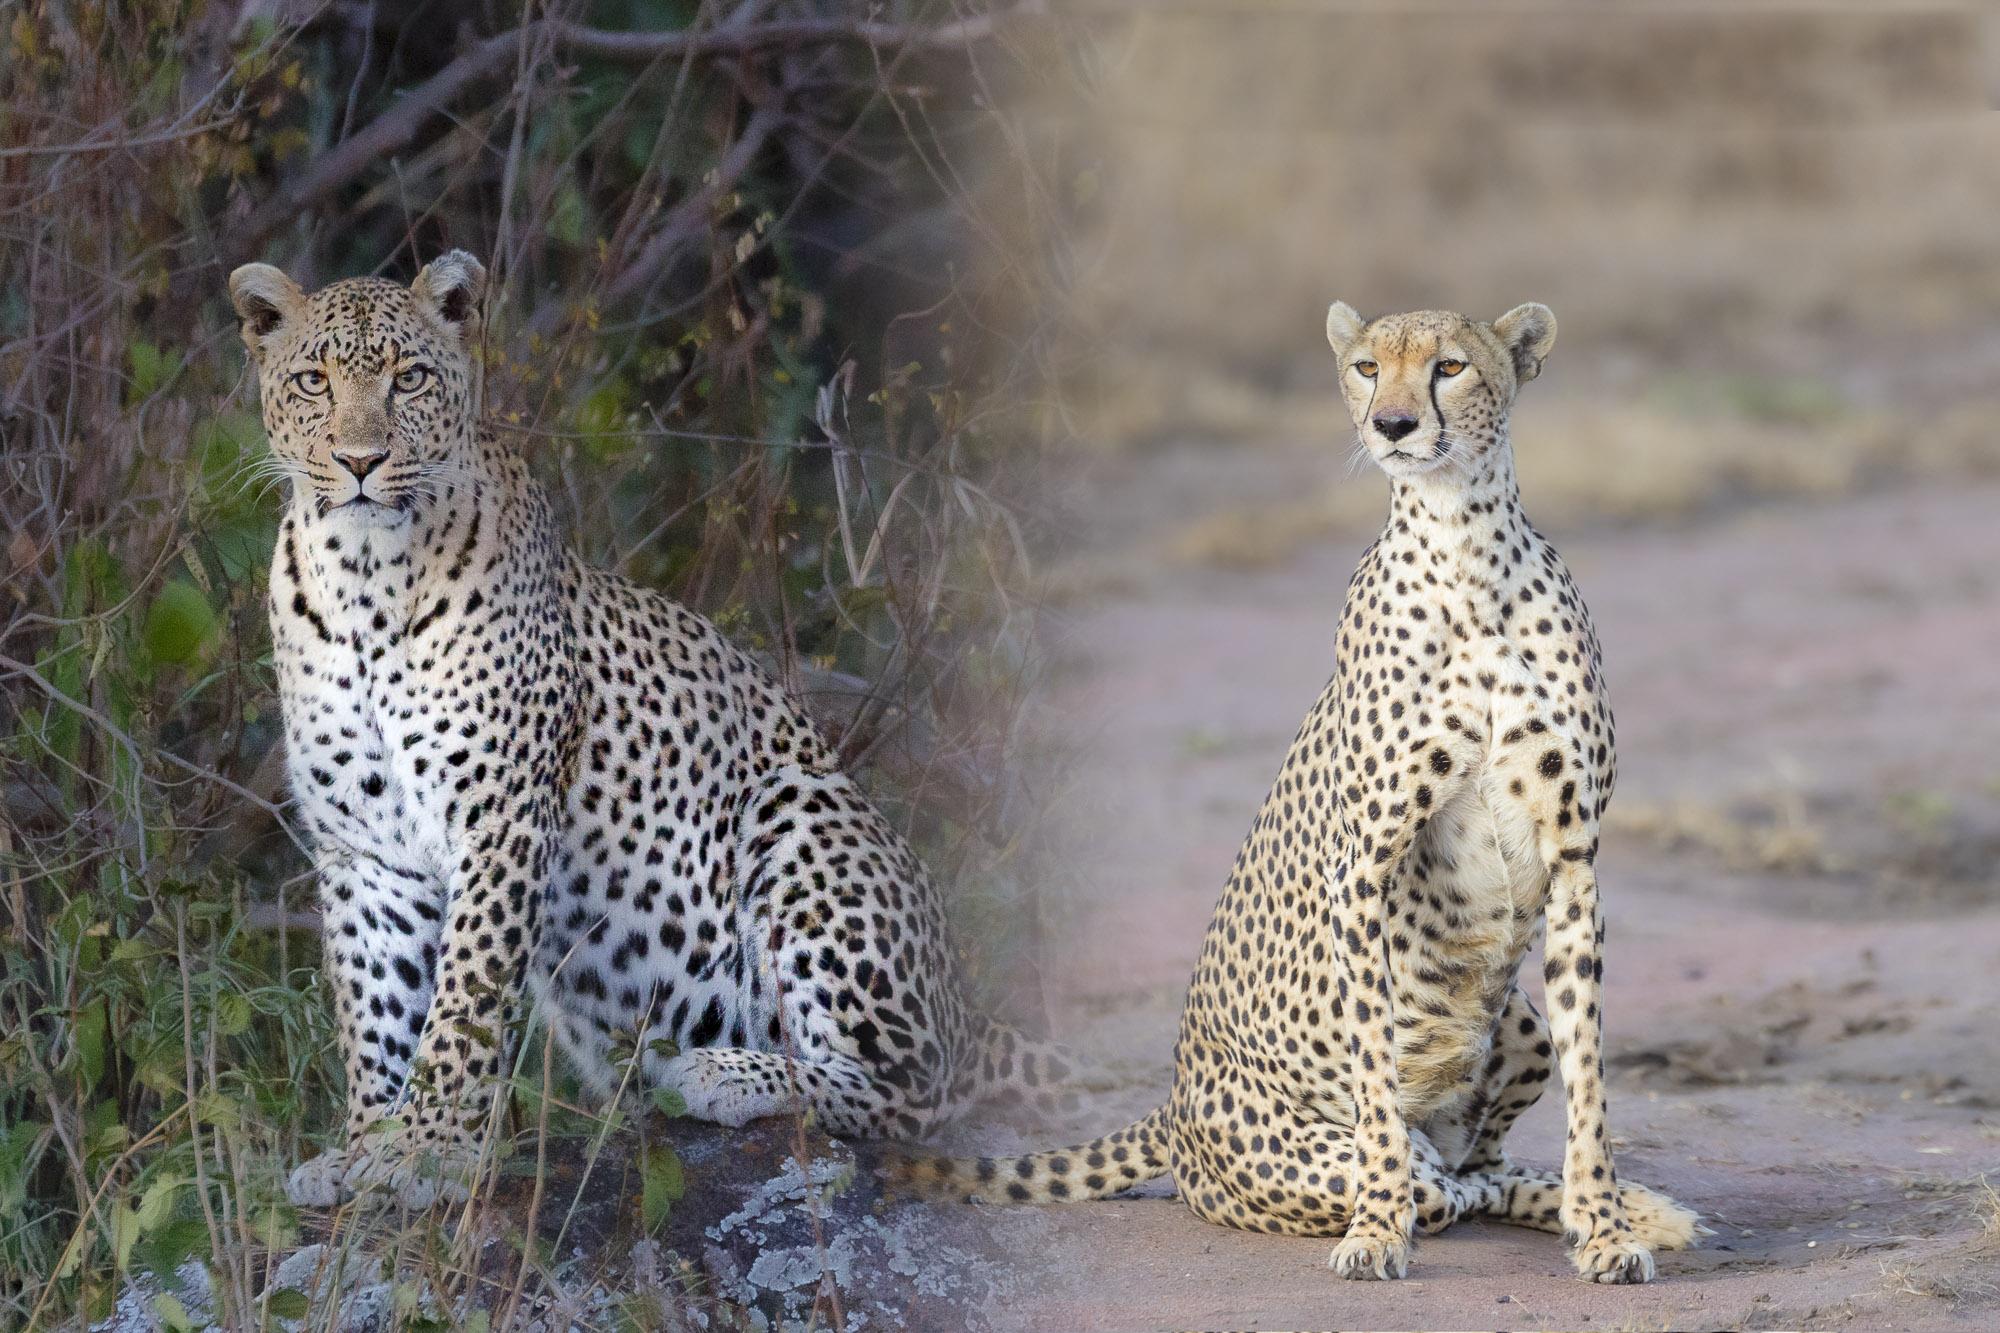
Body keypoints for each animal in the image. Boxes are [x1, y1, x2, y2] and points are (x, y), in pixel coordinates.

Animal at [229, 249, 1072, 1200]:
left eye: (408, 378)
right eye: (314, 381)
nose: (361, 459)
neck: (364, 583)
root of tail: (971, 1010)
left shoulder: (502, 819)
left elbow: (466, 999)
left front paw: (429, 1149)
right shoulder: (367, 848)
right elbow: (377, 1007)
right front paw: (365, 1146)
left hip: (798, 806)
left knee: (916, 1095)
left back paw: (724, 1073)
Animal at [904, 300, 1704, 1280]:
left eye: (1448, 367)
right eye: (1365, 367)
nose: (1392, 424)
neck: (1465, 546)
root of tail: (1171, 1104)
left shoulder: (1573, 859)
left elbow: (1590, 1067)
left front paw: (1606, 1227)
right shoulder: (1362, 866)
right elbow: (1374, 1075)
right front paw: (1377, 1229)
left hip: (1516, 1021)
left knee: (1482, 1165)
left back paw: (1633, 1210)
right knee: (1445, 1184)